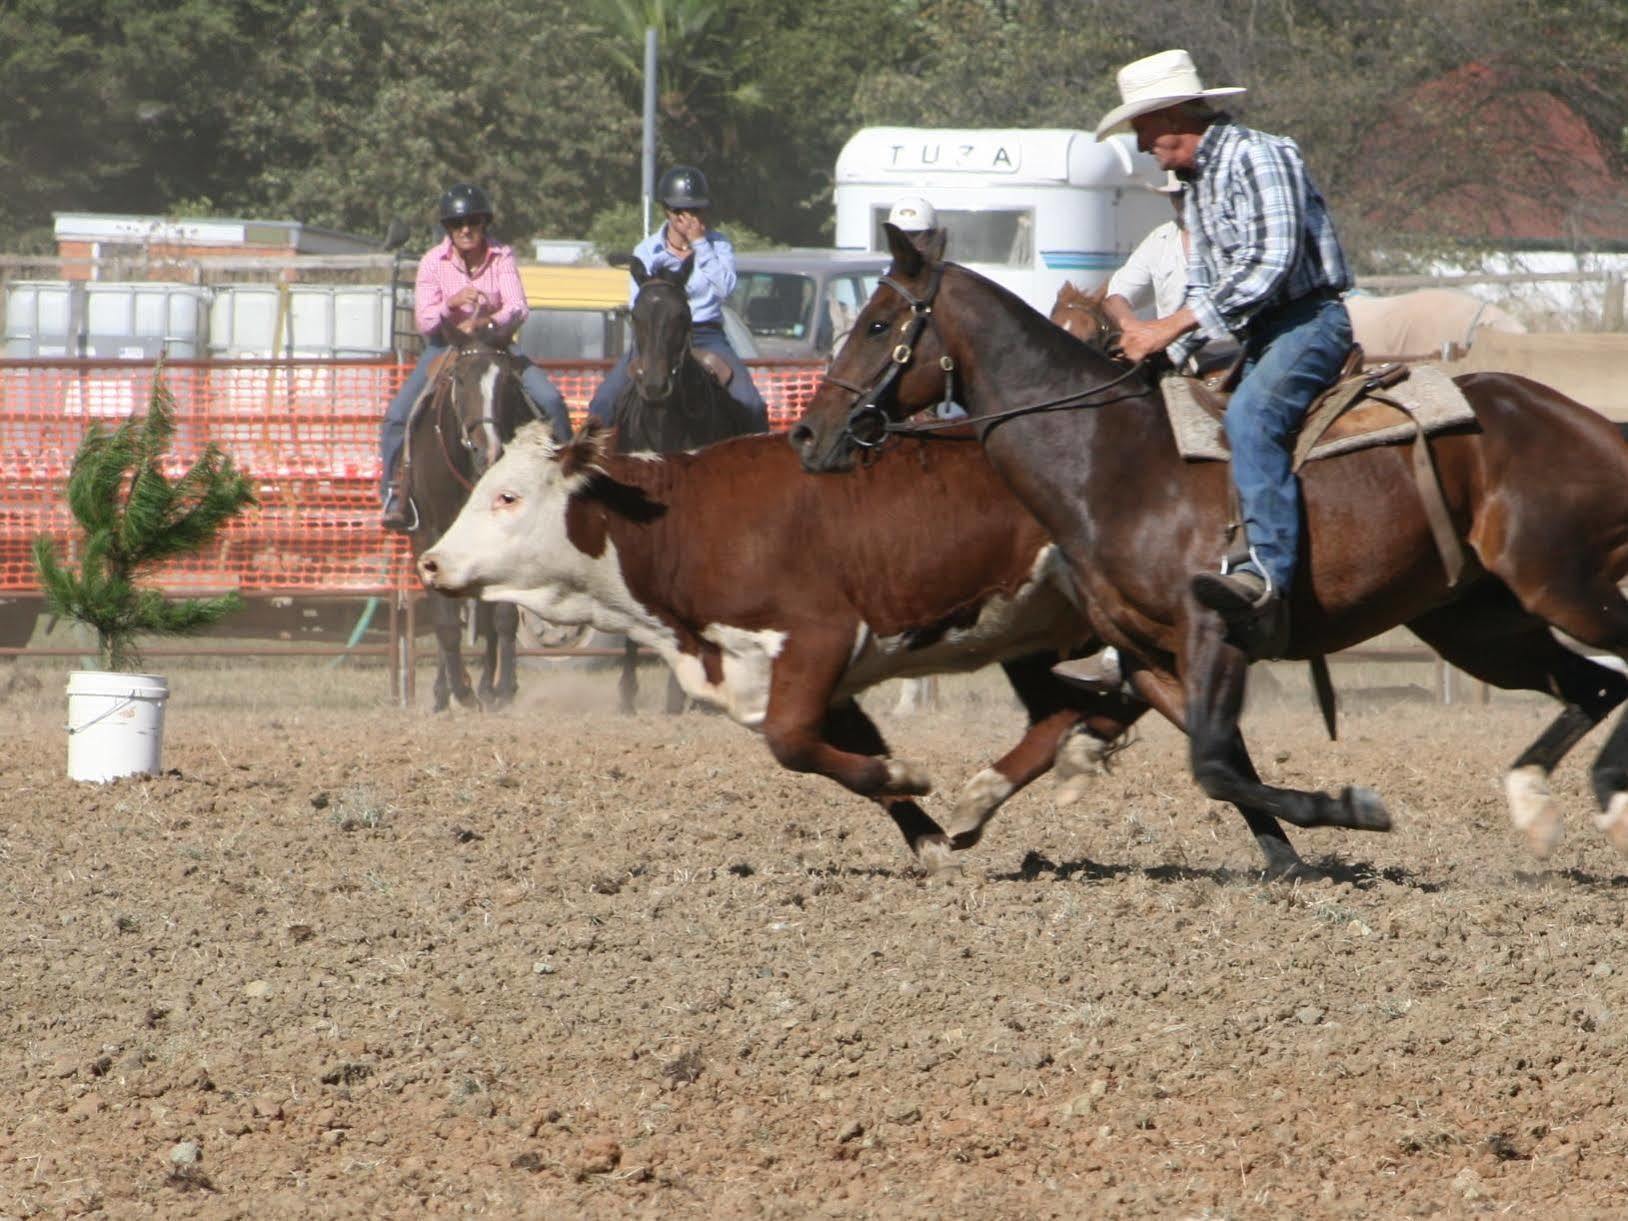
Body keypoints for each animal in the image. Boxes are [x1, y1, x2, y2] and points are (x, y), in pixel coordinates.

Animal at [403, 340, 537, 713]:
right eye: (459, 380)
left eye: (507, 382)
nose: (487, 450)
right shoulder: (430, 536)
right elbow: (447, 623)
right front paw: (461, 692)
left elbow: (503, 617)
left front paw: (503, 689)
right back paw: (445, 693)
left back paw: (487, 688)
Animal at [416, 426, 1146, 866]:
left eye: (507, 496)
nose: (429, 562)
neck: (682, 524)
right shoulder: (792, 677)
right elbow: (846, 749)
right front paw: (929, 836)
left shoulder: (820, 638)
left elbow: (793, 744)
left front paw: (909, 776)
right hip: (1031, 632)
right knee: (1071, 706)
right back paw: (1033, 771)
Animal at [791, 227, 1628, 879]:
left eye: (879, 323)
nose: (807, 432)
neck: (1114, 457)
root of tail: (1588, 421)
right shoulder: (1151, 654)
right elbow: (1218, 763)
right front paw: (1291, 857)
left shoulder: (1213, 632)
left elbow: (1216, 762)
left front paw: (1352, 809)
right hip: (1478, 621)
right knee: (1593, 684)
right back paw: (1537, 806)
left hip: (1561, 584)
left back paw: (1605, 792)